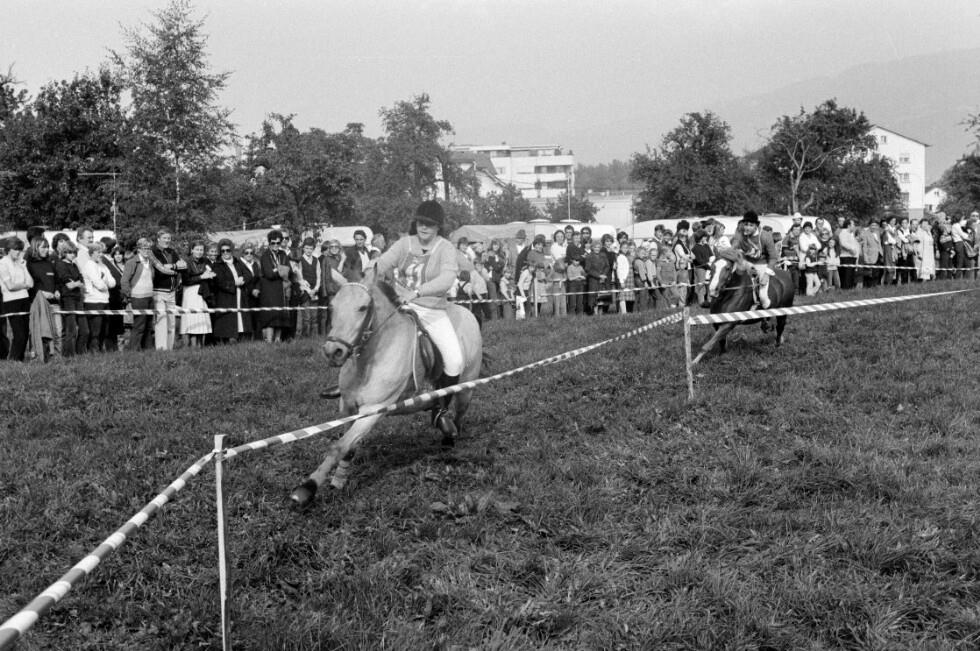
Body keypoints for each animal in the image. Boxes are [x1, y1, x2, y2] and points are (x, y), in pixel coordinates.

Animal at [290, 271, 483, 507]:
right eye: (332, 306)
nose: (333, 351)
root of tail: (467, 312)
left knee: (458, 413)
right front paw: (339, 479)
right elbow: (347, 447)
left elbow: (339, 446)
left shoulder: (373, 410)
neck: (370, 361)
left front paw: (307, 488)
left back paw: (449, 435)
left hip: (466, 390)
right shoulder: (348, 408)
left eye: (363, 307)